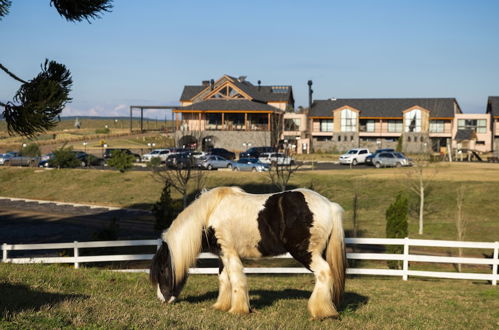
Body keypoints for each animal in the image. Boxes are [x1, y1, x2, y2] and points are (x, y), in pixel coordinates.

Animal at [149, 187, 348, 318]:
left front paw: (238, 310)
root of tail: (329, 205)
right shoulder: (223, 255)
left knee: (324, 273)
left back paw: (321, 312)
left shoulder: (229, 253)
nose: (161, 299)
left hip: (306, 253)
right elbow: (224, 279)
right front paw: (221, 306)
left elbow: (236, 279)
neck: (210, 213)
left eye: (162, 270)